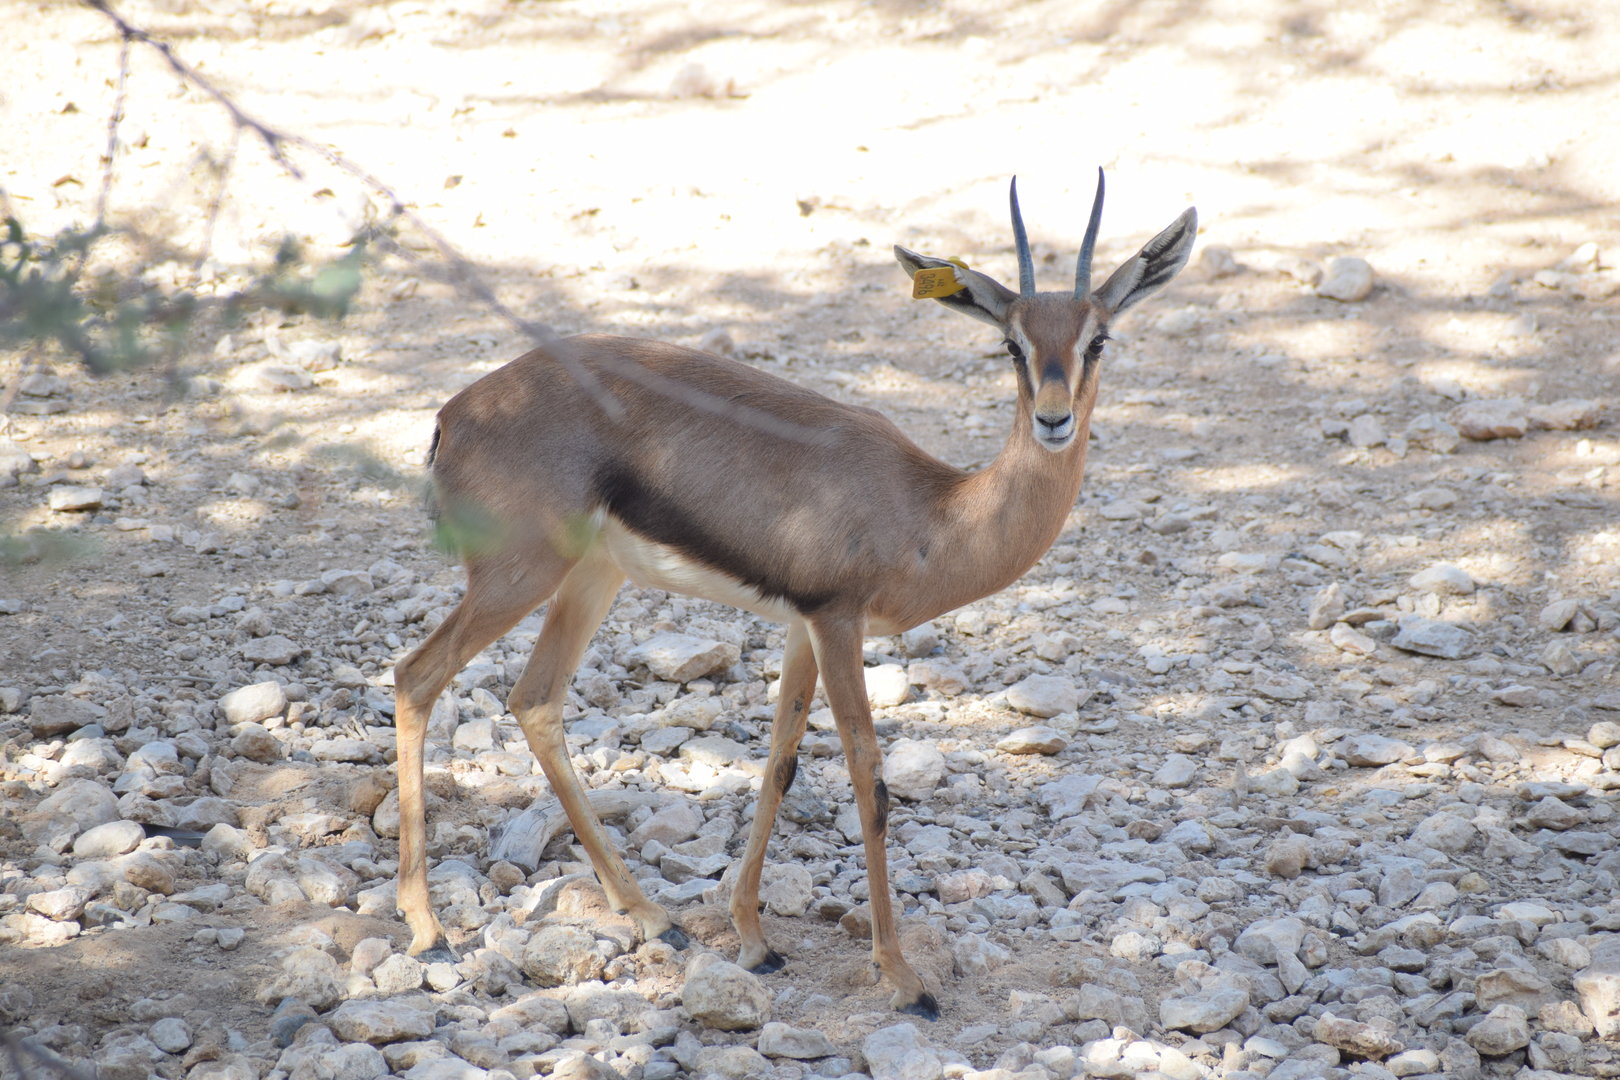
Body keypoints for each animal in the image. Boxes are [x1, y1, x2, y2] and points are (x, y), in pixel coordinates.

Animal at [391, 172, 1196, 1018]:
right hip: (518, 576)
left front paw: (752, 937)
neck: (933, 511)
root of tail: (453, 415)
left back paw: (651, 915)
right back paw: (428, 928)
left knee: (535, 700)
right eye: (1012, 343)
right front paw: (902, 977)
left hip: (590, 577)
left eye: (1098, 339)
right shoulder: (838, 622)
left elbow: (779, 760)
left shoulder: (800, 626)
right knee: (417, 678)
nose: (1053, 419)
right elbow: (869, 780)